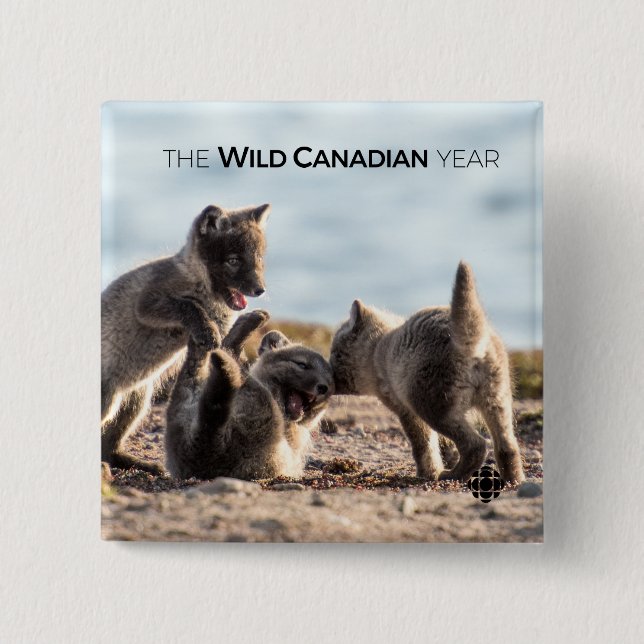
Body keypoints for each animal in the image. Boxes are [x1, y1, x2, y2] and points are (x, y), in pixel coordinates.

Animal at [101, 203, 270, 474]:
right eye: (233, 260)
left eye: (259, 259)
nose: (260, 290)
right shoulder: (147, 303)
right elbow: (188, 306)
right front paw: (205, 327)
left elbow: (228, 339)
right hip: (111, 401)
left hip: (136, 400)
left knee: (108, 447)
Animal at [165, 311, 334, 481]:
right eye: (302, 365)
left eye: (330, 380)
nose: (324, 388)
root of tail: (202, 447)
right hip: (183, 406)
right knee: (195, 372)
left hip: (259, 408)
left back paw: (227, 356)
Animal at [329, 261, 525, 483]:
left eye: (335, 354)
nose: (327, 375)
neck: (379, 348)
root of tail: (471, 344)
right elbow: (441, 446)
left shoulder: (405, 408)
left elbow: (423, 445)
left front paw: (428, 473)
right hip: (497, 401)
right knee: (508, 446)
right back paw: (513, 479)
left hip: (432, 404)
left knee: (476, 445)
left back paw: (451, 475)